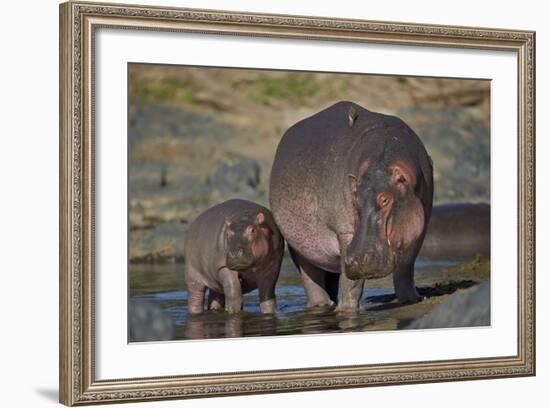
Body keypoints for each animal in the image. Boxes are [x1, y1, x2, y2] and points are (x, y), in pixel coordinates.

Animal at [272, 102, 436, 312]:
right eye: (354, 199)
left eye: (385, 200)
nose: (356, 260)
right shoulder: (346, 232)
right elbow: (351, 282)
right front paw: (347, 311)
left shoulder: (419, 228)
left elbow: (406, 267)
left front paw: (412, 299)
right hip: (298, 245)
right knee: (311, 277)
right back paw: (322, 305)